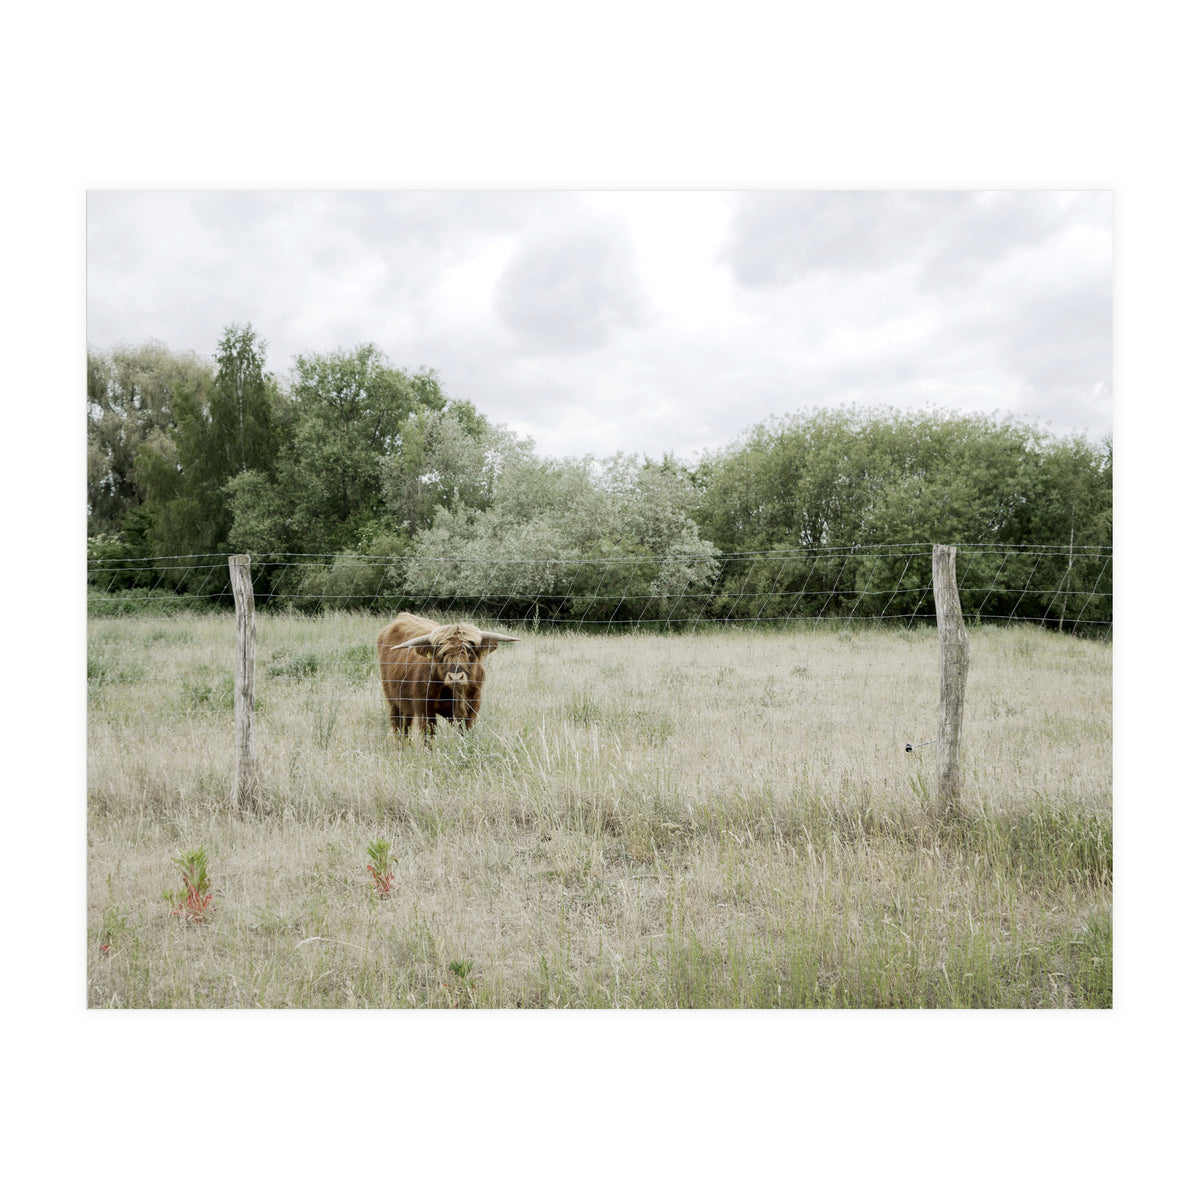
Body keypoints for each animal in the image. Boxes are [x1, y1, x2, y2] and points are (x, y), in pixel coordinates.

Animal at [376, 612, 518, 741]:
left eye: (470, 651)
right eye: (443, 653)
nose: (456, 678)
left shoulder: (472, 709)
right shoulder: (425, 710)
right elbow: (429, 738)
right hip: (394, 701)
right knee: (399, 727)